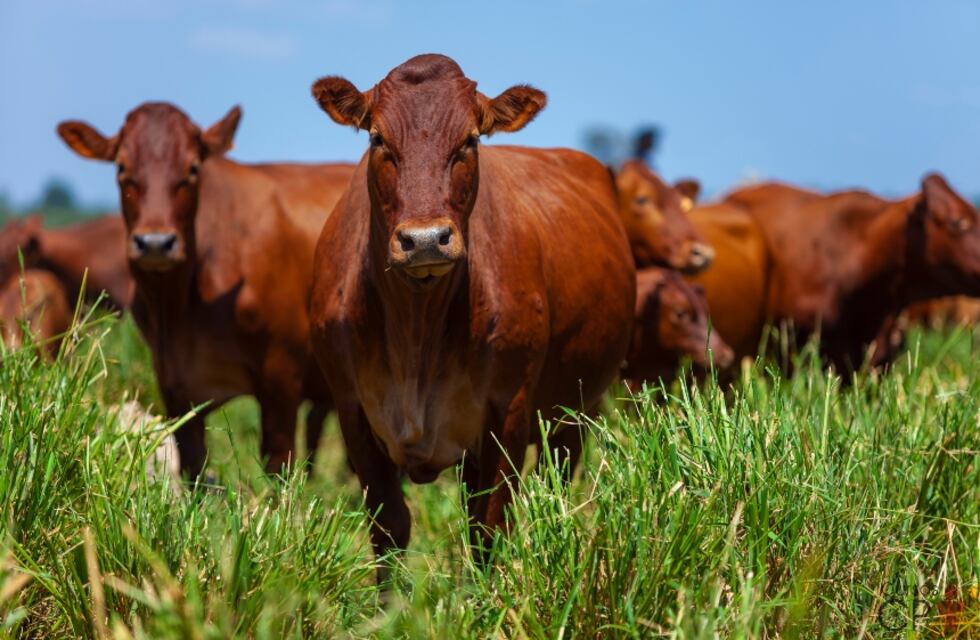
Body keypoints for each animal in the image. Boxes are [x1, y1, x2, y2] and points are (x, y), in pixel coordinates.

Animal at [57, 103, 355, 477]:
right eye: (122, 167)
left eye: (193, 168)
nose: (155, 243)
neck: (180, 308)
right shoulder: (175, 385)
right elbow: (193, 466)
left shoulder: (282, 378)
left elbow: (278, 465)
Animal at [308, 54, 635, 570]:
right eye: (378, 138)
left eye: (469, 140)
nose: (424, 239)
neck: (416, 329)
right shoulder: (352, 409)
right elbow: (390, 527)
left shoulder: (510, 409)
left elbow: (491, 526)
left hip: (573, 414)